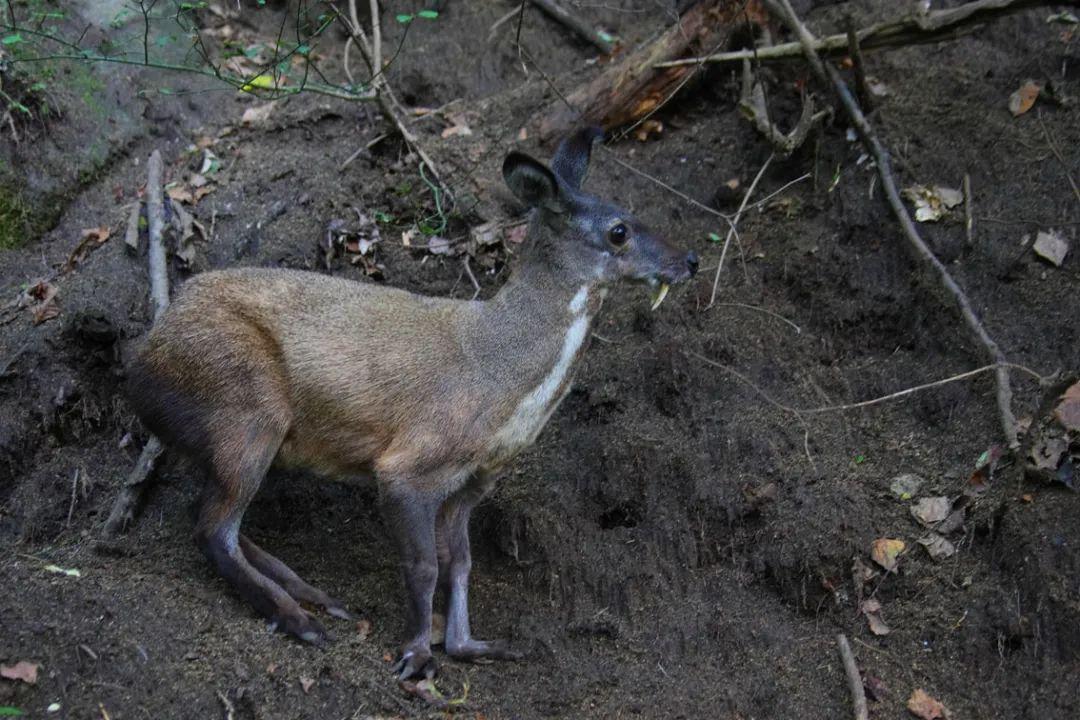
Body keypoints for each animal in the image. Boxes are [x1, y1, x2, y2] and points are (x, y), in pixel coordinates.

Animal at [126, 126, 699, 677]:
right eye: (619, 230)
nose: (690, 260)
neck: (500, 383)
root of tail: (142, 360)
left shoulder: (472, 483)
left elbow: (461, 563)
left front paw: (472, 645)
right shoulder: (412, 462)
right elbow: (424, 565)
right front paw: (416, 655)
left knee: (212, 515)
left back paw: (315, 596)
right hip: (246, 406)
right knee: (212, 529)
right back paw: (299, 621)